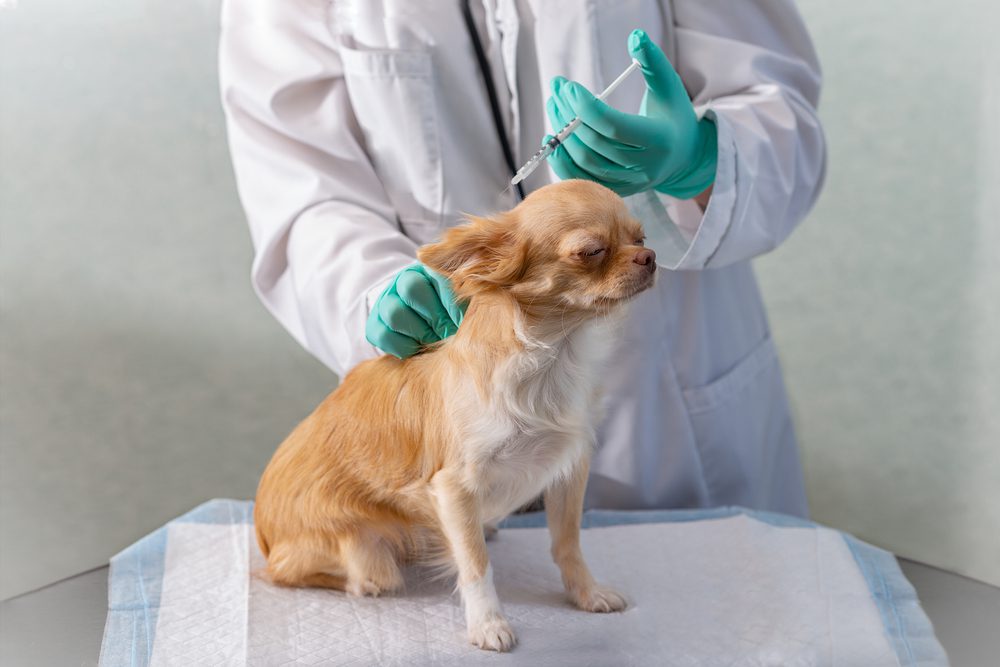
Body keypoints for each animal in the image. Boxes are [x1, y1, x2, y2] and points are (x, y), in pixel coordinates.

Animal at [252, 179, 656, 652]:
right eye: (591, 251)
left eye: (641, 239)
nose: (651, 258)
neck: (555, 355)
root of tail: (263, 531)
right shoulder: (455, 486)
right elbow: (476, 563)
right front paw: (488, 623)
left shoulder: (569, 468)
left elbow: (568, 541)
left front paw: (587, 593)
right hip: (362, 553)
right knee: (294, 573)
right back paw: (362, 581)